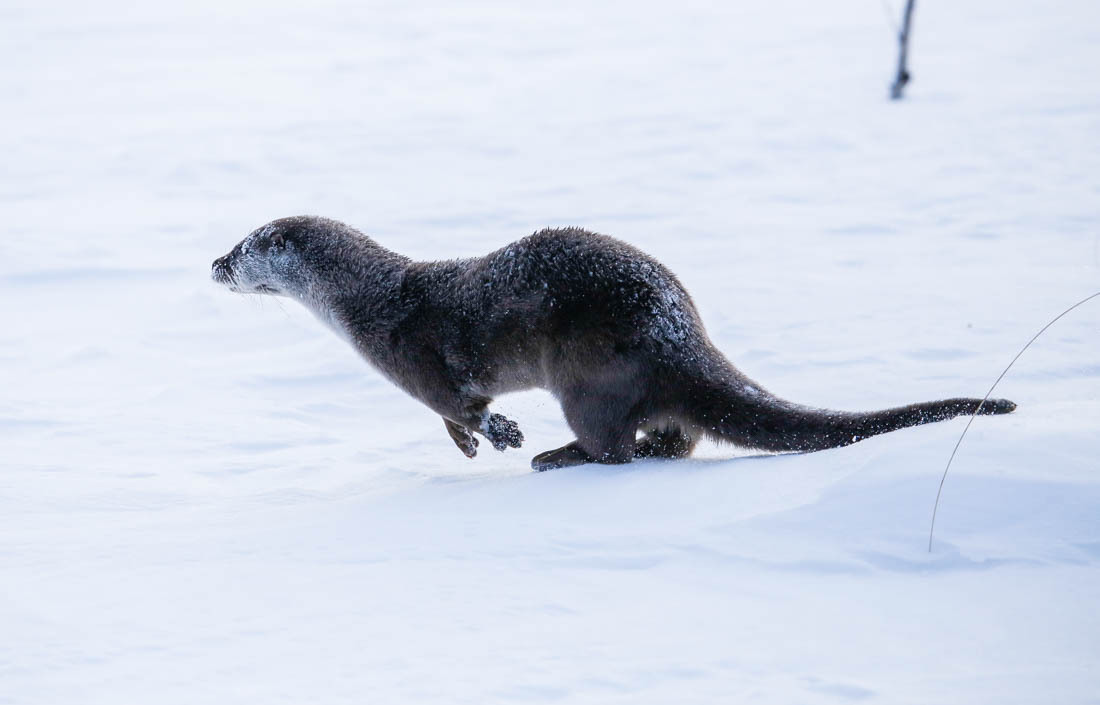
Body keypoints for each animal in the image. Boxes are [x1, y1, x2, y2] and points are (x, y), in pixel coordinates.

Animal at [210, 213, 1016, 466]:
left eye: (244, 249)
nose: (214, 263)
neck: (374, 301)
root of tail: (680, 332)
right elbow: (447, 417)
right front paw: (468, 446)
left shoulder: (414, 357)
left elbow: (455, 401)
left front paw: (500, 435)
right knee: (677, 436)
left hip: (587, 373)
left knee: (615, 445)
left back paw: (554, 456)